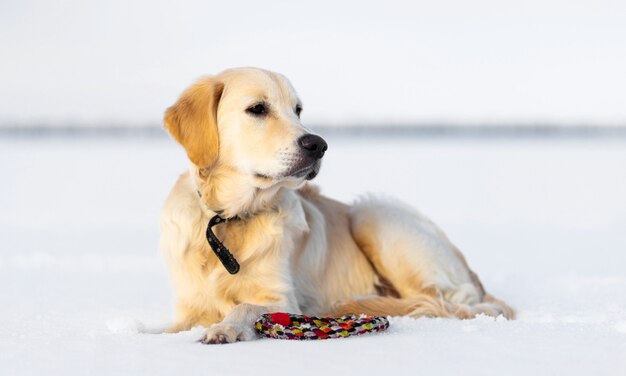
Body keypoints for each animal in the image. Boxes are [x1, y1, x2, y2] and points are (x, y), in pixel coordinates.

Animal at [157, 67, 512, 344]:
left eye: (297, 110)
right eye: (257, 108)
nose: (318, 145)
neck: (229, 218)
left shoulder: (282, 298)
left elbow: (244, 306)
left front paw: (225, 328)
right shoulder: (189, 306)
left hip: (372, 215)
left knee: (437, 300)